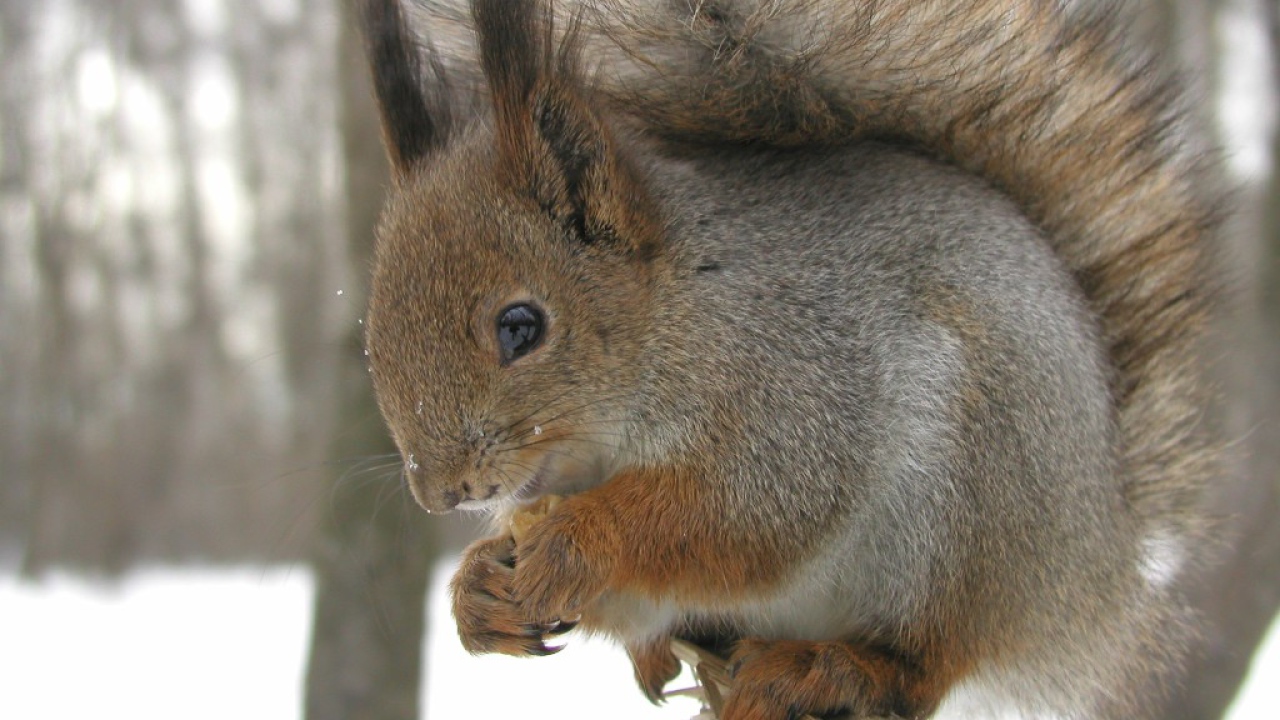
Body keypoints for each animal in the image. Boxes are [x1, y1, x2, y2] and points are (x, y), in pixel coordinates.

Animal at [354, 0, 1221, 718]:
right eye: (373, 332)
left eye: (520, 326)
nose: (440, 492)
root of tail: (1098, 567)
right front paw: (475, 589)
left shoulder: (798, 390)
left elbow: (744, 515)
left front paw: (576, 542)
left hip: (971, 505)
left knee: (932, 661)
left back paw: (829, 673)